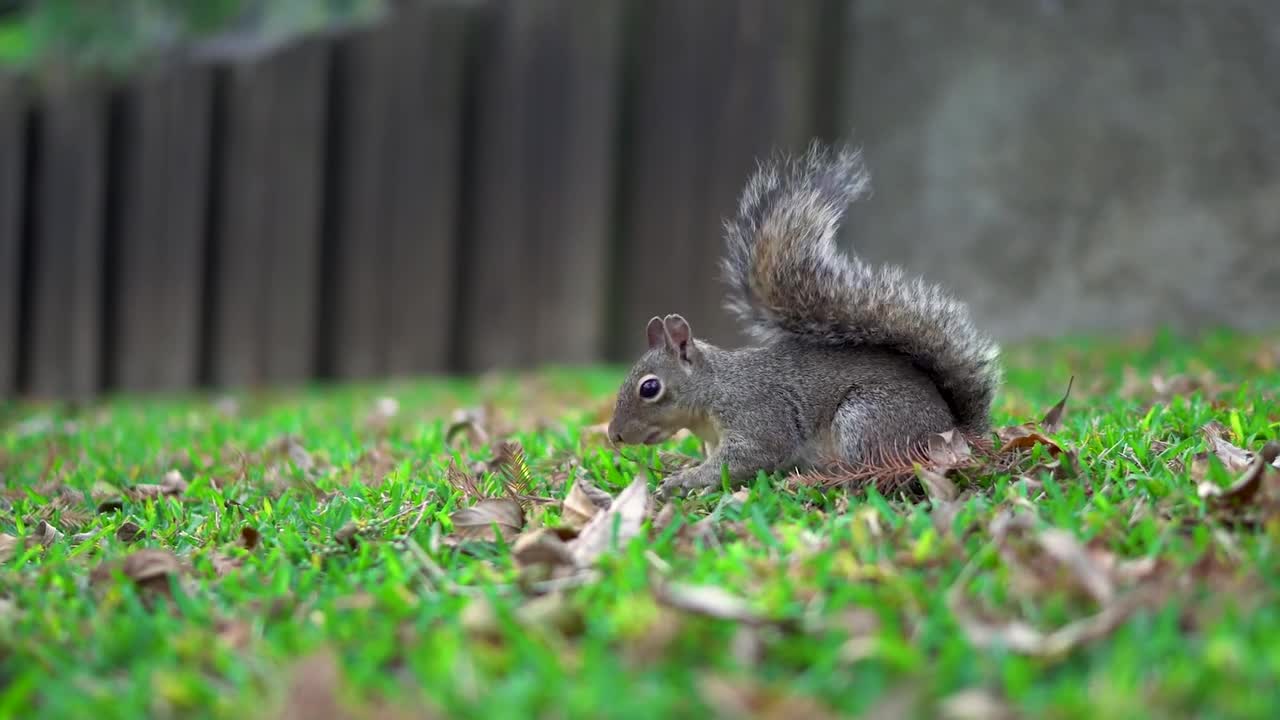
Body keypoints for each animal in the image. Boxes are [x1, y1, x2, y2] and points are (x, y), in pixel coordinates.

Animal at [604, 140, 1003, 499]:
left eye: (650, 388)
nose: (614, 435)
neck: (714, 388)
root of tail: (954, 434)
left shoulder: (757, 414)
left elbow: (749, 456)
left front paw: (682, 482)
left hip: (864, 419)